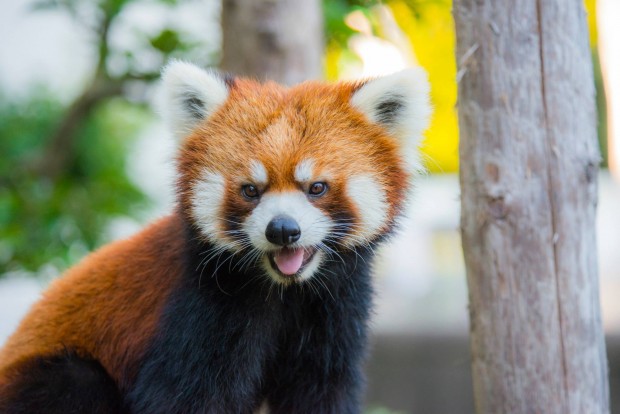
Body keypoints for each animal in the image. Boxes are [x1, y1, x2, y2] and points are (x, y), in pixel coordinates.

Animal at [0, 62, 428, 414]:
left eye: (317, 187)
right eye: (250, 190)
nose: (283, 229)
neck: (283, 291)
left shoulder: (334, 312)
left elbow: (323, 393)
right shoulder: (200, 310)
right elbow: (183, 399)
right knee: (75, 380)